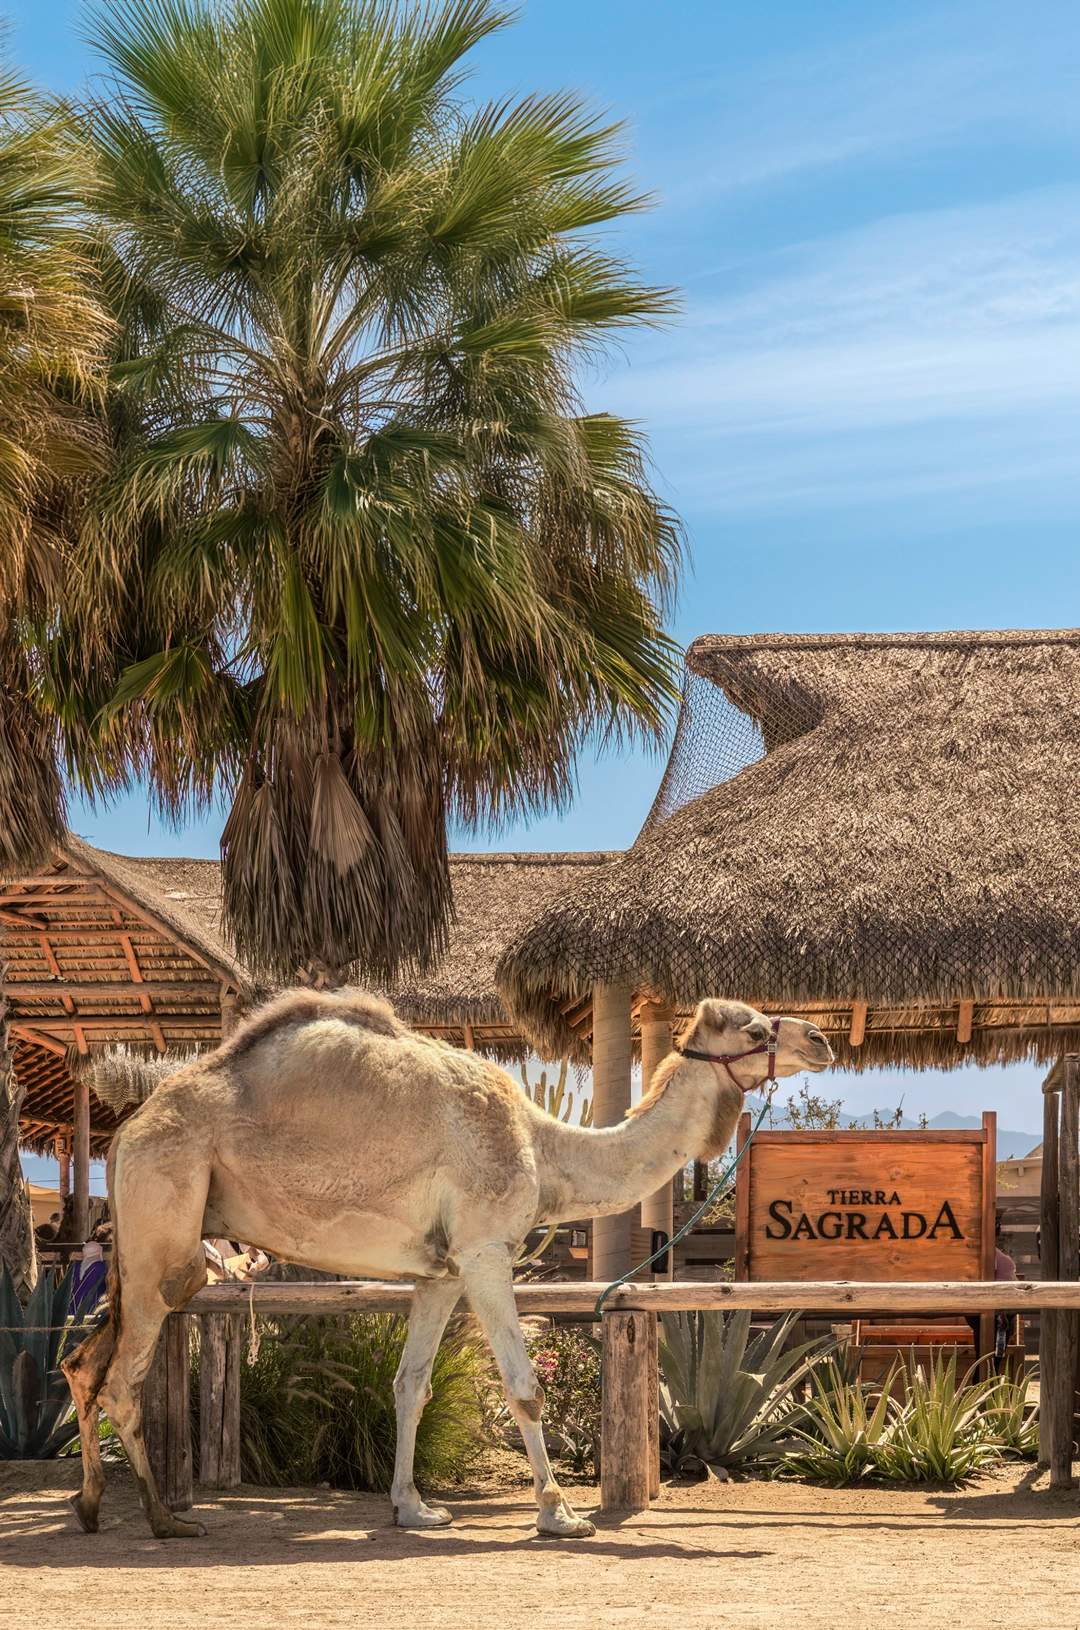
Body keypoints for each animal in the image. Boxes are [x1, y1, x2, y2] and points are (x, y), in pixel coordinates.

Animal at [62, 991, 833, 1540]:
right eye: (755, 1030)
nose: (820, 1039)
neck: (546, 1148)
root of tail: (126, 1131)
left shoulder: (440, 1273)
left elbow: (411, 1386)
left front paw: (413, 1509)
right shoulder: (485, 1252)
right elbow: (524, 1388)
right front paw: (559, 1513)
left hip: (139, 1248)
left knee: (82, 1364)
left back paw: (92, 1506)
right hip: (166, 1216)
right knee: (123, 1377)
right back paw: (164, 1519)